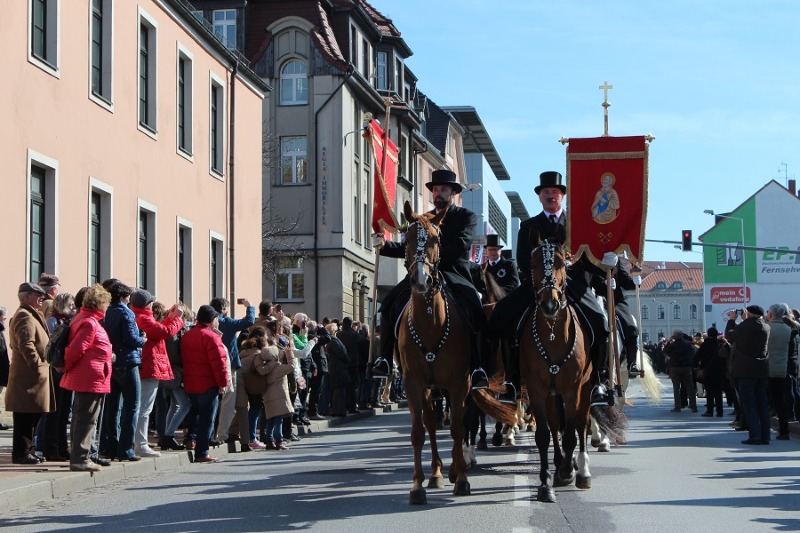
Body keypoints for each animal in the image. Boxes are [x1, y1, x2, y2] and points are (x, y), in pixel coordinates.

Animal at [396, 202, 516, 504]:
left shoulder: (460, 382)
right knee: (430, 423)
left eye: (435, 239)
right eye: (407, 239)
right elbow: (418, 432)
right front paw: (417, 486)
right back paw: (437, 472)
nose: (421, 281)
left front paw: (461, 478)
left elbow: (460, 426)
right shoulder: (413, 382)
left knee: (464, 420)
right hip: (431, 388)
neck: (431, 322)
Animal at [520, 241, 592, 502]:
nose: (549, 305)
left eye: (562, 263)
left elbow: (571, 433)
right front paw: (545, 484)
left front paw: (568, 472)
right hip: (552, 393)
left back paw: (581, 471)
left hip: (586, 387)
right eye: (533, 265)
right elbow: (544, 434)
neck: (553, 333)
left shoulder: (573, 389)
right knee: (554, 425)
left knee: (581, 424)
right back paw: (561, 462)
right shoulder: (537, 388)